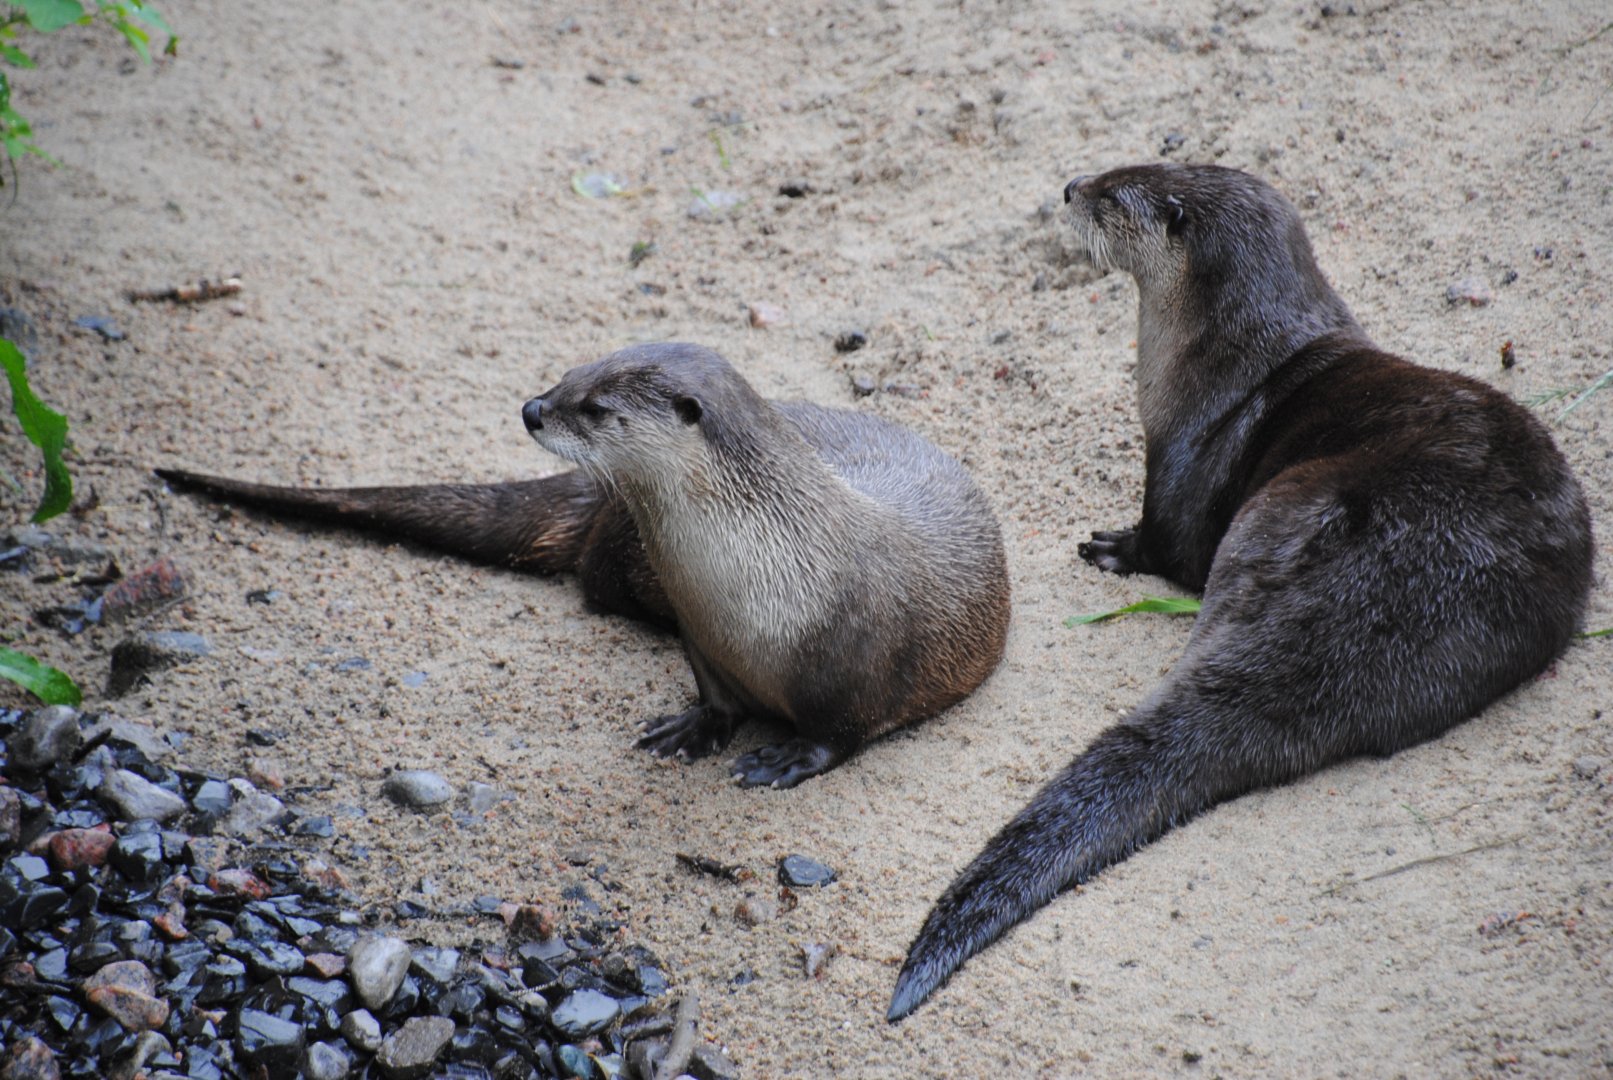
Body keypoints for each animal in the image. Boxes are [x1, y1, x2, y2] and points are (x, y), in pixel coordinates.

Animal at [158, 343, 1010, 788]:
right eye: (571, 373)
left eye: (597, 407)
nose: (533, 408)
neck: (765, 564)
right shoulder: (700, 635)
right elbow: (713, 696)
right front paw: (693, 728)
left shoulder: (857, 655)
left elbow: (841, 731)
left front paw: (787, 758)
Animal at [887, 164, 1593, 1021]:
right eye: (1118, 169)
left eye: (1112, 194)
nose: (1068, 187)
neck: (1223, 368)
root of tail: (1381, 609)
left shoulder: (1179, 466)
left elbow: (1169, 546)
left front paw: (1114, 549)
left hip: (1274, 505)